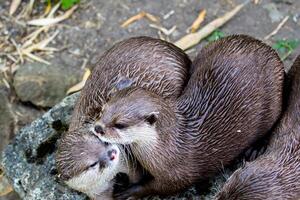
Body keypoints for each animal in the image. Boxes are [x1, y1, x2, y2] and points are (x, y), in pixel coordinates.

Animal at [55, 36, 192, 198]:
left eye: (102, 142)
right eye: (93, 164)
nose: (112, 153)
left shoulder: (128, 161)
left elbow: (136, 177)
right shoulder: (96, 191)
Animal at [92, 34, 284, 198]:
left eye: (120, 124)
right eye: (102, 110)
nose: (98, 128)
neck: (171, 147)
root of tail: (261, 44)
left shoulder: (177, 175)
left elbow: (158, 187)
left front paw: (128, 191)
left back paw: (255, 149)